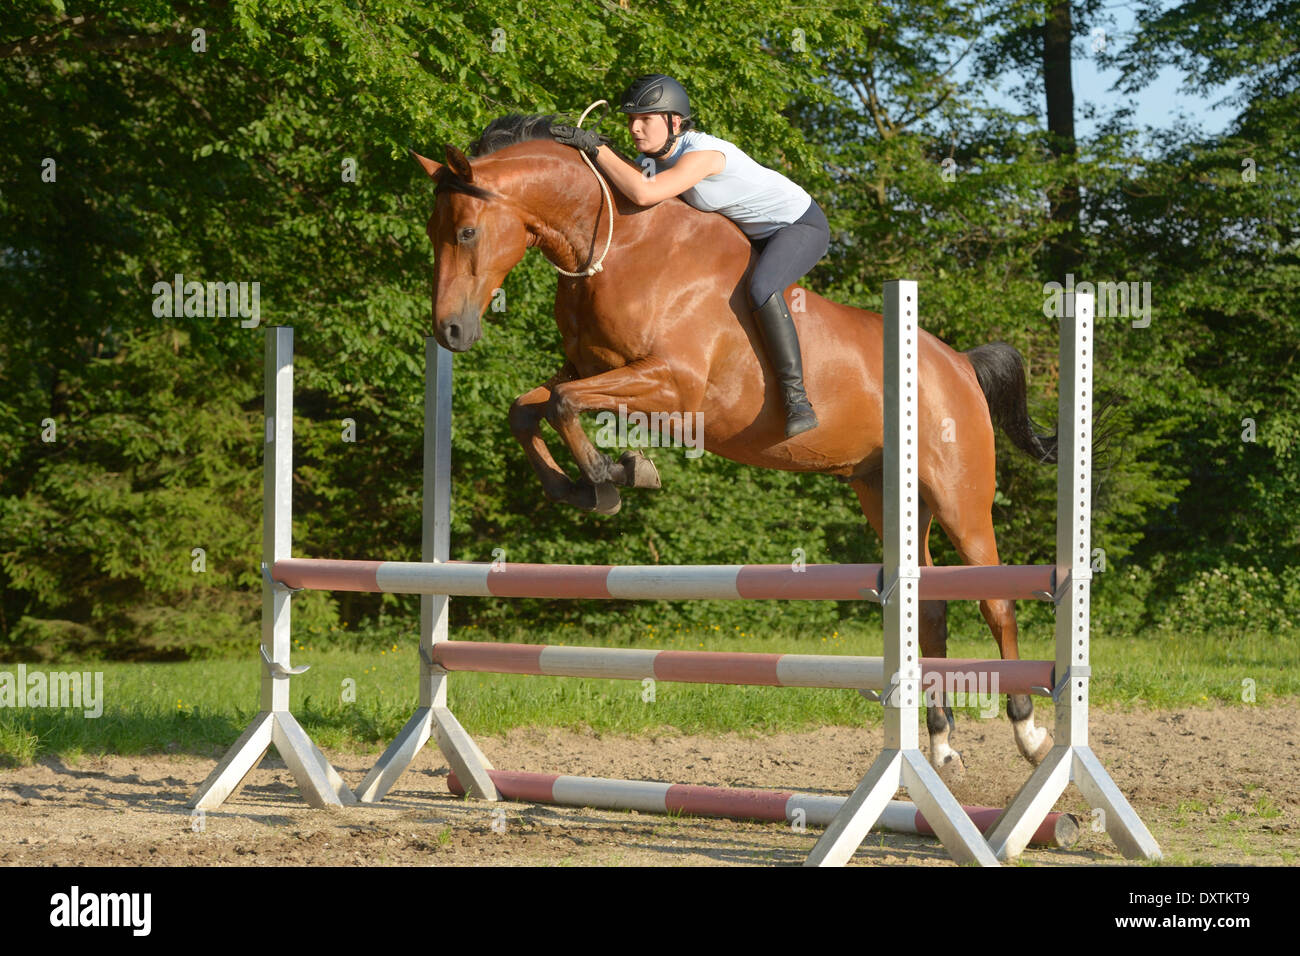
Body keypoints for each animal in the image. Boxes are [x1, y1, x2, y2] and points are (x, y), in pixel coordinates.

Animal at [412, 113, 1059, 776]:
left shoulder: (674, 387)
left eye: (466, 230)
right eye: (434, 232)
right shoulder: (592, 371)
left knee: (995, 601)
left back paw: (1029, 733)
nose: (450, 332)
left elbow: (565, 405)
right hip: (887, 493)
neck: (619, 249)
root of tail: (959, 363)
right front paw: (593, 482)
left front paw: (612, 479)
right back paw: (942, 744)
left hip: (960, 496)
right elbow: (530, 409)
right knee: (928, 606)